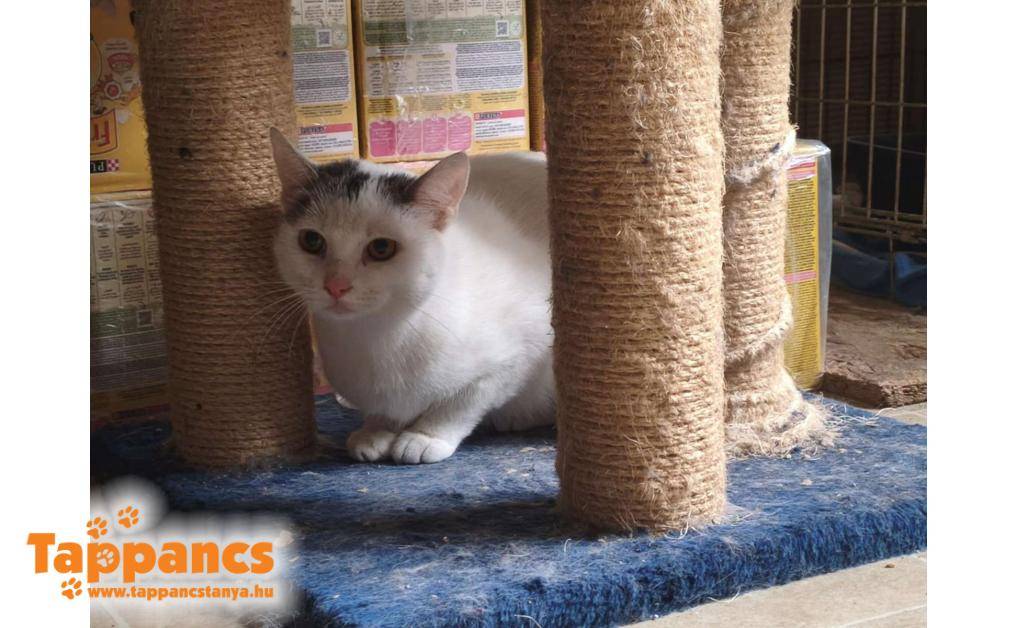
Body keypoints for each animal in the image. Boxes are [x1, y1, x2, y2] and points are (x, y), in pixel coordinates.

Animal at [269, 129, 555, 464]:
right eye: (312, 241)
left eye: (382, 248)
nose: (336, 285)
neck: (374, 337)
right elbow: (384, 411)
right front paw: (377, 430)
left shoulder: (517, 356)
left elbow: (460, 405)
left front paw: (425, 436)